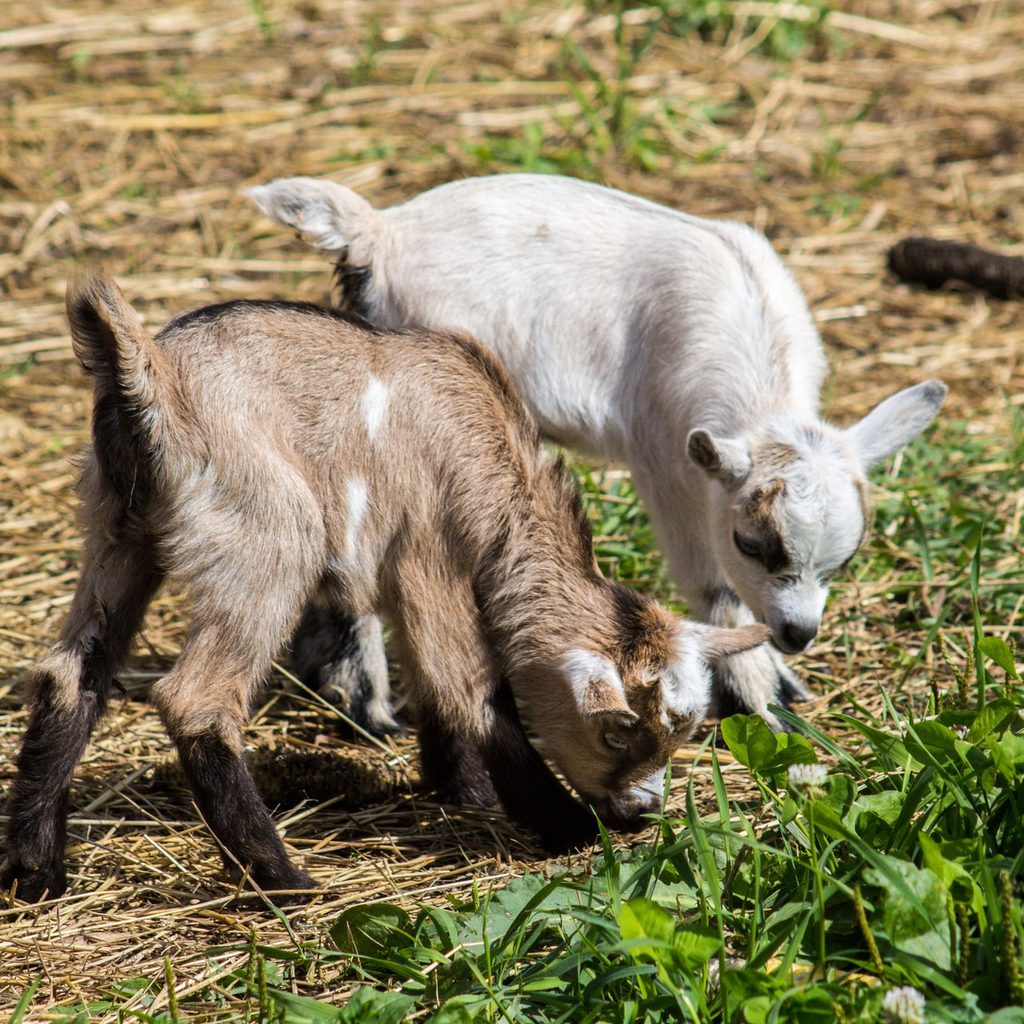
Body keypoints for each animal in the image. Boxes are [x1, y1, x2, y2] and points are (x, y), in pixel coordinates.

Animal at [1, 270, 770, 901]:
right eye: (617, 733)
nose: (643, 811)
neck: (488, 451)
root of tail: (151, 377)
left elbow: (431, 683)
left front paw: (463, 789)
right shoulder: (427, 551)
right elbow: (470, 686)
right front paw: (565, 827)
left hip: (118, 532)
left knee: (72, 672)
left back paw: (36, 870)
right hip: (266, 536)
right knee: (196, 697)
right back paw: (283, 881)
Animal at [249, 173, 947, 733]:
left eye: (845, 559)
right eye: (751, 543)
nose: (800, 634)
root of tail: (378, 232)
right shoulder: (664, 454)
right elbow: (711, 581)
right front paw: (759, 697)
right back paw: (369, 700)